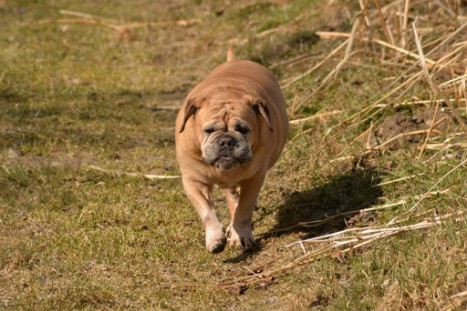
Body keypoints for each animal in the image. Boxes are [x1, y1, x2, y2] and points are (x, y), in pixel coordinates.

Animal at [175, 49, 288, 254]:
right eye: (209, 130)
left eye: (243, 129)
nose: (226, 141)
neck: (225, 94)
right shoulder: (193, 180)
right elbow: (206, 210)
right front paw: (215, 238)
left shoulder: (255, 178)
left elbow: (244, 209)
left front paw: (240, 235)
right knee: (231, 195)